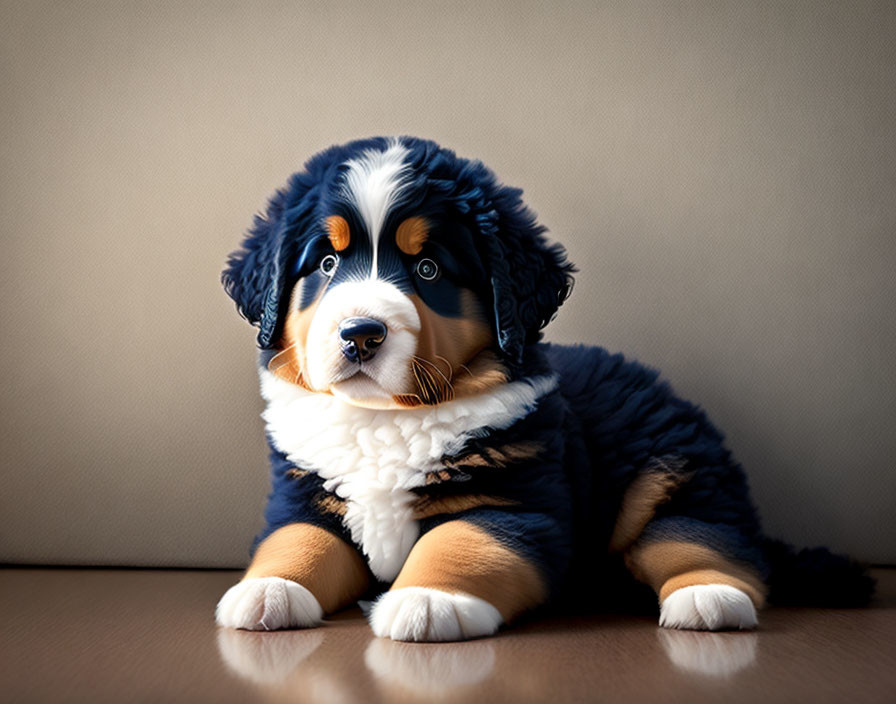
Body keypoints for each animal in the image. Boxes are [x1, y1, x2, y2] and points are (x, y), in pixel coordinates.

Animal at [217, 135, 876, 640]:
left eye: (428, 269)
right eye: (326, 264)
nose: (360, 334)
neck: (387, 419)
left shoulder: (516, 501)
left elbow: (460, 541)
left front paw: (428, 600)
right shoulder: (304, 492)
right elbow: (296, 541)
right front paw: (266, 590)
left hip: (675, 474)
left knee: (706, 540)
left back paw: (708, 598)